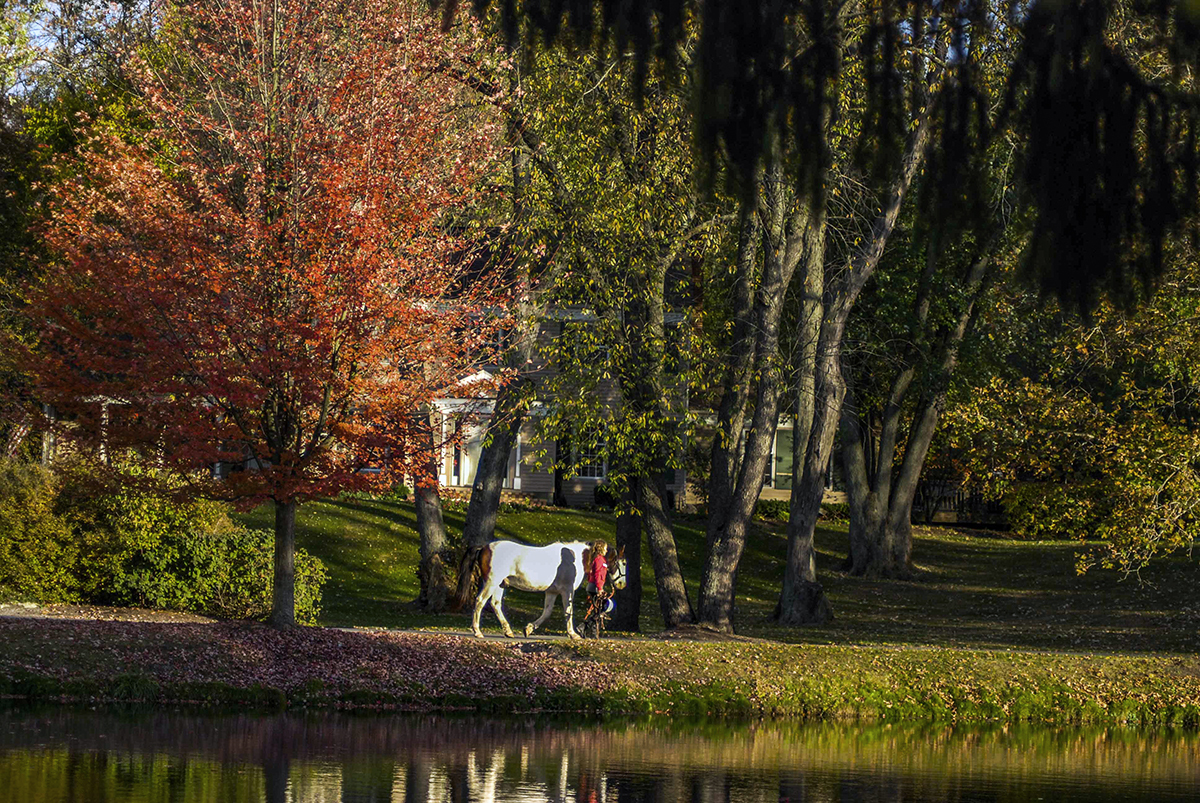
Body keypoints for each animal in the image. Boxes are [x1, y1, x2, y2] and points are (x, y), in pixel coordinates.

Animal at [451, 537, 628, 638]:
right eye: (624, 563)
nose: (622, 584)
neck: (574, 558)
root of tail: (484, 547)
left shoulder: (552, 592)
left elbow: (547, 612)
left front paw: (529, 629)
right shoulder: (567, 591)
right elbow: (568, 611)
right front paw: (573, 634)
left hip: (500, 584)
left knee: (495, 604)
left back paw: (508, 631)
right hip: (492, 582)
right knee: (480, 601)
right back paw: (477, 631)